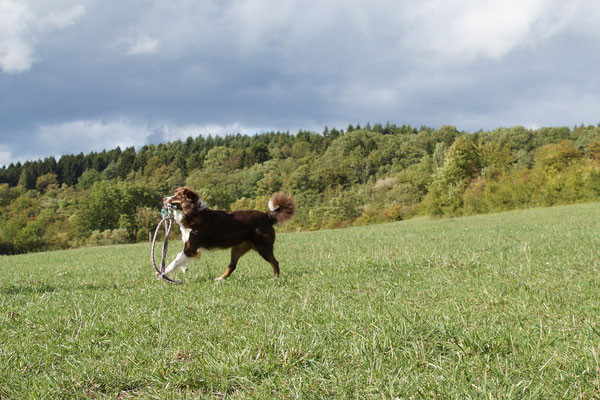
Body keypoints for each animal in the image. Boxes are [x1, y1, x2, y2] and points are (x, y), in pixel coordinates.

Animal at [161, 186, 294, 280]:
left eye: (176, 196)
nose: (163, 198)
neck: (192, 213)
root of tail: (267, 215)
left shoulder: (191, 247)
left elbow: (175, 261)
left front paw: (162, 273)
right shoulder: (189, 247)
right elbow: (178, 258)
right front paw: (184, 268)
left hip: (263, 247)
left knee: (275, 262)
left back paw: (275, 278)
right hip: (237, 248)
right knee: (232, 266)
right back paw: (220, 279)